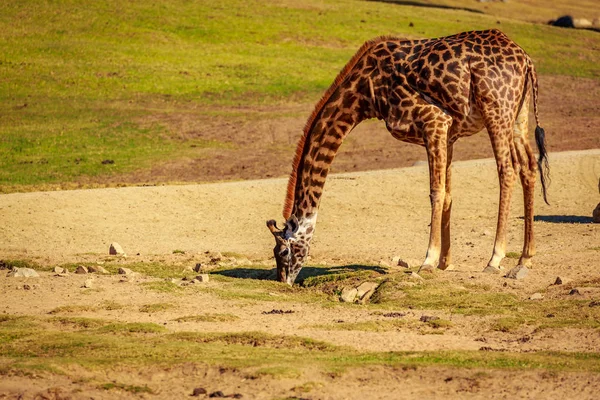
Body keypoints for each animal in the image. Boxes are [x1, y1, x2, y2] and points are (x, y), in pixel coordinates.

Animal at [266, 28, 548, 284]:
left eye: (282, 252)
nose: (284, 281)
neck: (366, 93)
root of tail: (526, 61)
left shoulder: (434, 120)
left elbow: (435, 192)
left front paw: (428, 261)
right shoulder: (449, 133)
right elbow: (448, 195)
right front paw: (445, 262)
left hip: (497, 110)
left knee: (507, 170)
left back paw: (495, 258)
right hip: (518, 115)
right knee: (529, 167)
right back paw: (526, 256)